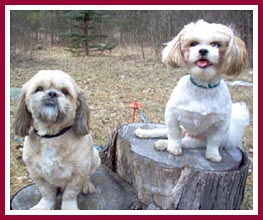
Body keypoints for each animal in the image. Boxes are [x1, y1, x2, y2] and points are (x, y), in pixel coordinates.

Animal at [13, 70, 101, 210]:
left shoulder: (78, 174)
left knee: (88, 176)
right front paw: (44, 206)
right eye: (39, 89)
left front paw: (69, 209)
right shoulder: (36, 174)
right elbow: (47, 192)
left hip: (95, 158)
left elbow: (70, 194)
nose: (52, 93)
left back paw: (87, 185)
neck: (52, 136)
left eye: (65, 91)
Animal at [136, 20, 252, 162]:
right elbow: (174, 134)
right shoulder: (172, 115)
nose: (203, 50)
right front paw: (174, 147)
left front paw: (213, 155)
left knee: (184, 141)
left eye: (216, 44)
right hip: (182, 128)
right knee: (166, 132)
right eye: (193, 44)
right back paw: (144, 133)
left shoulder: (221, 124)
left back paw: (162, 143)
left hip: (197, 140)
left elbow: (214, 141)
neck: (202, 86)